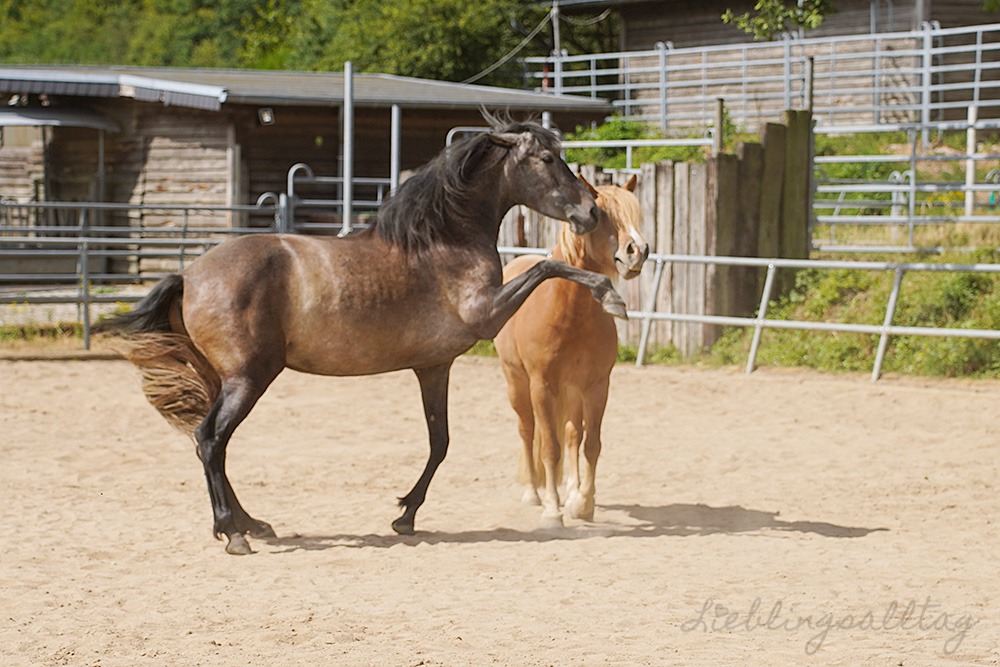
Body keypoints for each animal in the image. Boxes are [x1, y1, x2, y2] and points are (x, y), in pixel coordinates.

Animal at [95, 116, 628, 555]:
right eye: (547, 159)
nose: (590, 213)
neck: (443, 240)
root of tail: (189, 276)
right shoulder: (486, 314)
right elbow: (546, 266)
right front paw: (611, 295)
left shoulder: (433, 366)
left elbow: (440, 441)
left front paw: (406, 515)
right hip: (249, 378)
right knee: (210, 440)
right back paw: (234, 533)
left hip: (225, 379)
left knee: (215, 445)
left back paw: (253, 524)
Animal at [494, 173, 648, 528]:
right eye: (601, 215)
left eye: (635, 216)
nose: (638, 251)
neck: (570, 313)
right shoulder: (542, 386)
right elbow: (549, 447)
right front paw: (553, 511)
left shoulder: (596, 386)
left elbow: (590, 444)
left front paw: (582, 503)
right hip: (517, 384)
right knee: (528, 431)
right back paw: (534, 494)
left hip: (573, 391)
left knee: (572, 435)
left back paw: (573, 491)